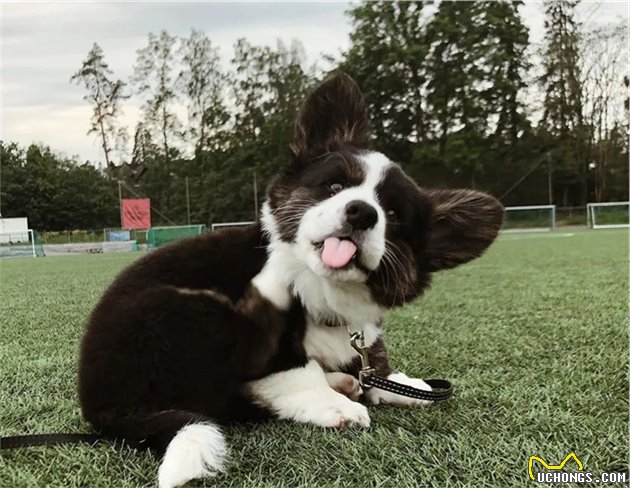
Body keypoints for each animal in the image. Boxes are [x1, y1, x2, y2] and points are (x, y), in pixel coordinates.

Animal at [78, 73, 504, 488]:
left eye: (395, 215)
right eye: (335, 187)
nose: (362, 212)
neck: (324, 290)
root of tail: (106, 410)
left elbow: (374, 365)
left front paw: (405, 385)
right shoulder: (274, 351)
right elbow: (299, 372)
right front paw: (337, 406)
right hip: (183, 308)